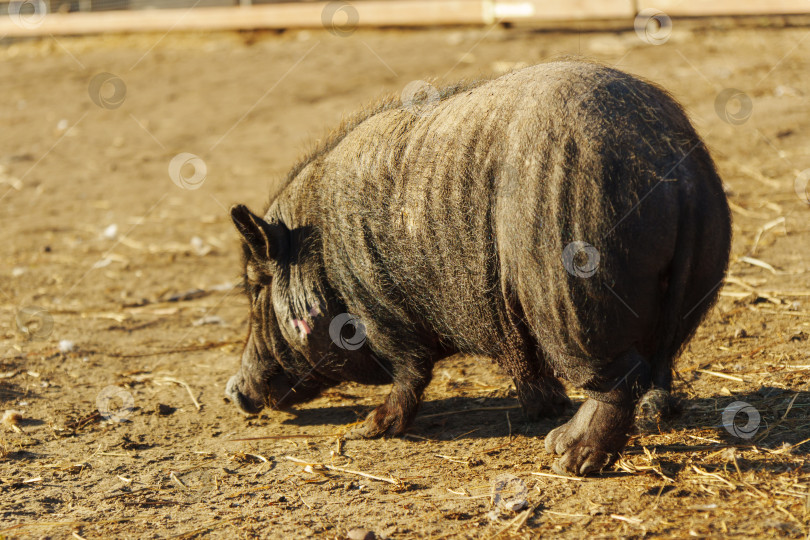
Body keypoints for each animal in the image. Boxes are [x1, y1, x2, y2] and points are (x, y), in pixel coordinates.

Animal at [225, 61, 732, 476]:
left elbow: (410, 373)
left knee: (616, 381)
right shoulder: (509, 325)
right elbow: (525, 366)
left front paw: (369, 428)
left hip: (569, 296)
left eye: (255, 286)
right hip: (695, 284)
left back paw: (564, 456)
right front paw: (540, 410)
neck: (321, 260)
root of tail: (675, 168)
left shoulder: (379, 313)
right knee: (653, 369)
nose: (231, 389)